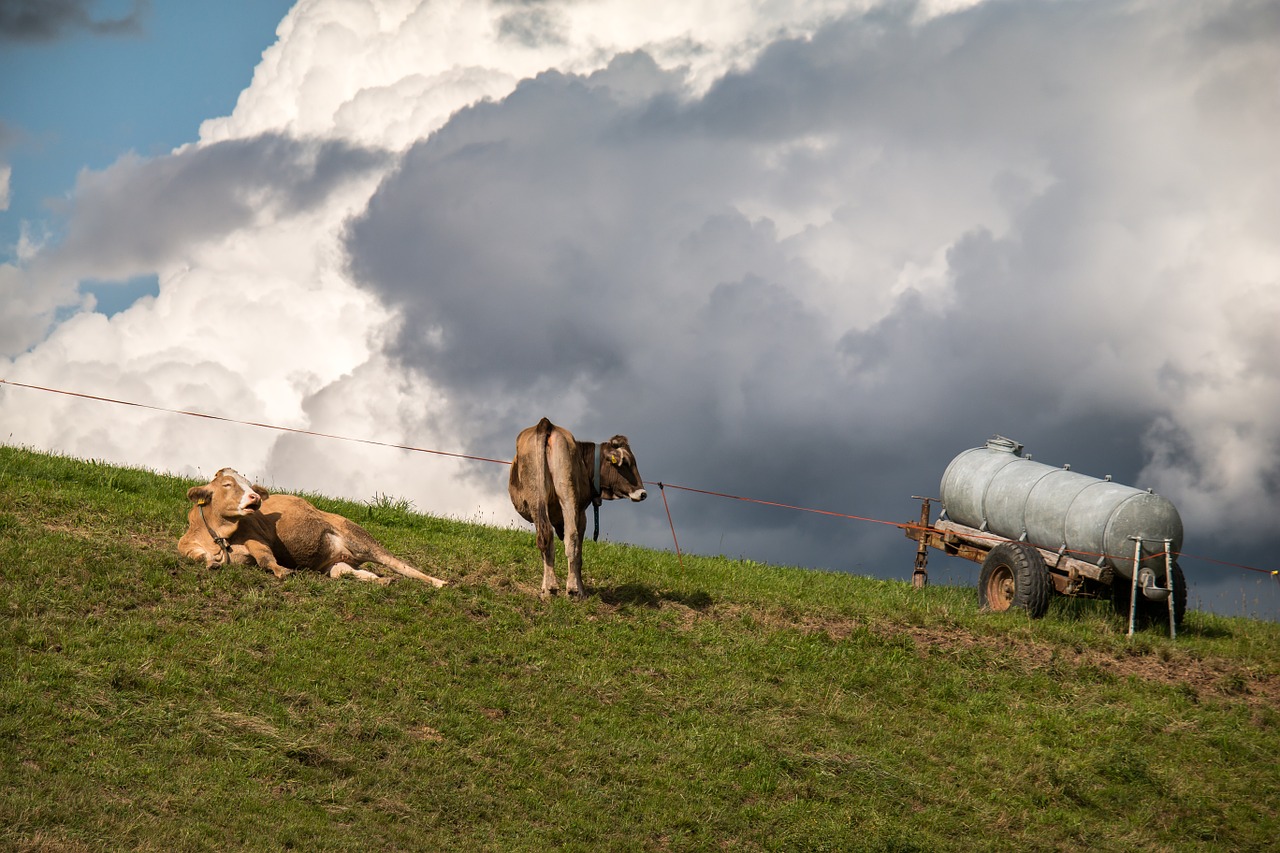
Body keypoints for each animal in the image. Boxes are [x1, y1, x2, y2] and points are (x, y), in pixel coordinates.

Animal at [509, 414, 650, 594]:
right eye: (626, 463)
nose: (642, 493)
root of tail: (546, 423)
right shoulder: (582, 512)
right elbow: (579, 553)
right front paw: (580, 588)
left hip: (538, 495)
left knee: (547, 537)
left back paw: (551, 588)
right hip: (568, 496)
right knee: (571, 537)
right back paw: (573, 589)